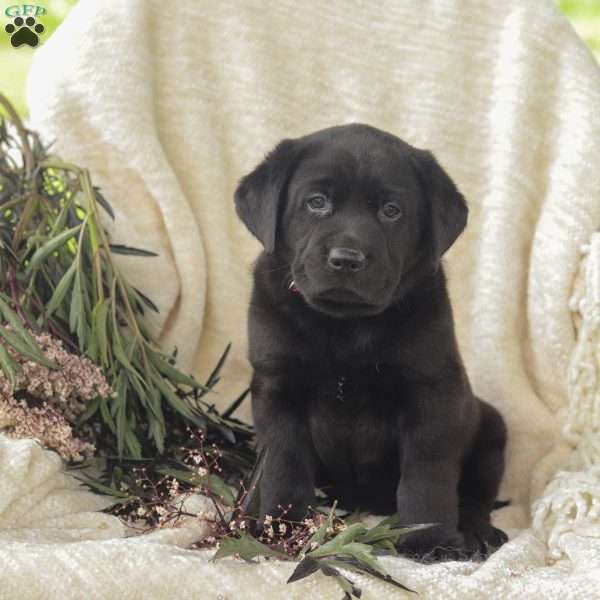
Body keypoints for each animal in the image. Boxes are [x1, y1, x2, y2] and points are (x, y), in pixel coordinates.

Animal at [233, 124, 506, 560]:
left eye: (391, 211)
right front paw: (281, 527)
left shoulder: (431, 392)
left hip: (492, 430)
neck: (346, 328)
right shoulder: (277, 388)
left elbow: (426, 476)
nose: (347, 259)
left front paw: (428, 539)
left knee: (476, 497)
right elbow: (284, 465)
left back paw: (477, 532)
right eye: (316, 202)